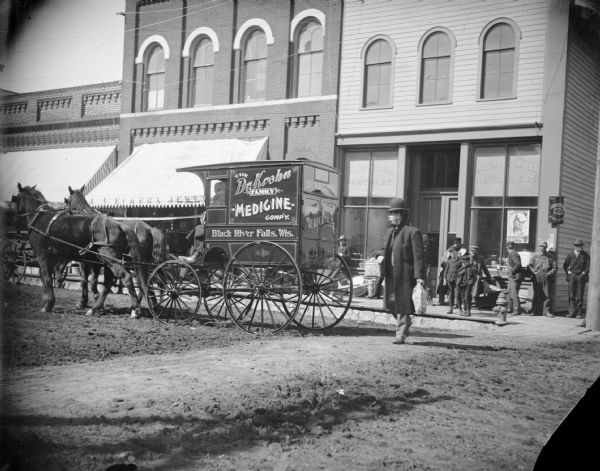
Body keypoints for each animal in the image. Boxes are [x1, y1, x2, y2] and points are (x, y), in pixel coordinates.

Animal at [13, 183, 147, 318]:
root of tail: (121, 225)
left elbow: (48, 278)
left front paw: (48, 304)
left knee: (126, 277)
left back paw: (135, 310)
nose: (15, 215)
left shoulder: (43, 256)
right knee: (109, 282)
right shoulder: (55, 258)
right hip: (109, 261)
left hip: (109, 257)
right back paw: (95, 308)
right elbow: (50, 276)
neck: (41, 219)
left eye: (16, 197)